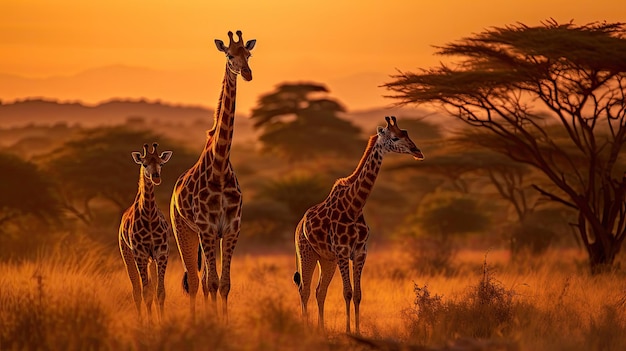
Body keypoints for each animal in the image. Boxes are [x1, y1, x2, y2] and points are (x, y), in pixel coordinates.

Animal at [117, 142, 172, 322]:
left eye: (161, 163)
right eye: (144, 164)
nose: (156, 177)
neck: (148, 216)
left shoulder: (161, 253)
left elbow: (160, 292)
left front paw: (162, 322)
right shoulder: (140, 254)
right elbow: (145, 293)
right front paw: (149, 324)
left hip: (151, 260)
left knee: (152, 289)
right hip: (127, 253)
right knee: (136, 291)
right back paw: (141, 321)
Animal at [169, 31, 255, 322]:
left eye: (248, 54)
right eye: (229, 55)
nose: (247, 73)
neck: (219, 166)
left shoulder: (231, 228)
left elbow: (224, 284)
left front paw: (224, 323)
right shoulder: (207, 228)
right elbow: (212, 283)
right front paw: (213, 324)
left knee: (204, 280)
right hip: (183, 230)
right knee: (196, 281)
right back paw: (197, 321)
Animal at [292, 117, 424, 334]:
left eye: (406, 133)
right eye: (395, 137)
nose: (417, 151)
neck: (354, 206)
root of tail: (299, 225)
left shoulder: (360, 252)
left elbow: (358, 294)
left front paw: (358, 330)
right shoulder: (343, 251)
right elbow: (347, 292)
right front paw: (348, 331)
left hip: (327, 259)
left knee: (320, 290)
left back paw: (321, 328)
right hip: (306, 252)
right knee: (305, 289)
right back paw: (307, 328)